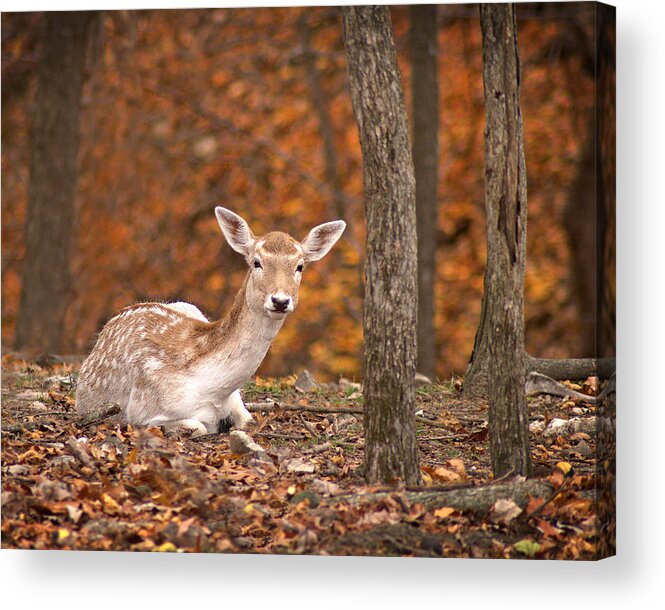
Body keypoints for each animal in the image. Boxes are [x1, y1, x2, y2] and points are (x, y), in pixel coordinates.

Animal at [76, 207, 348, 434]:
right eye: (256, 262)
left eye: (300, 266)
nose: (280, 300)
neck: (214, 389)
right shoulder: (141, 411)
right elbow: (199, 426)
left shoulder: (236, 400)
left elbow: (247, 420)